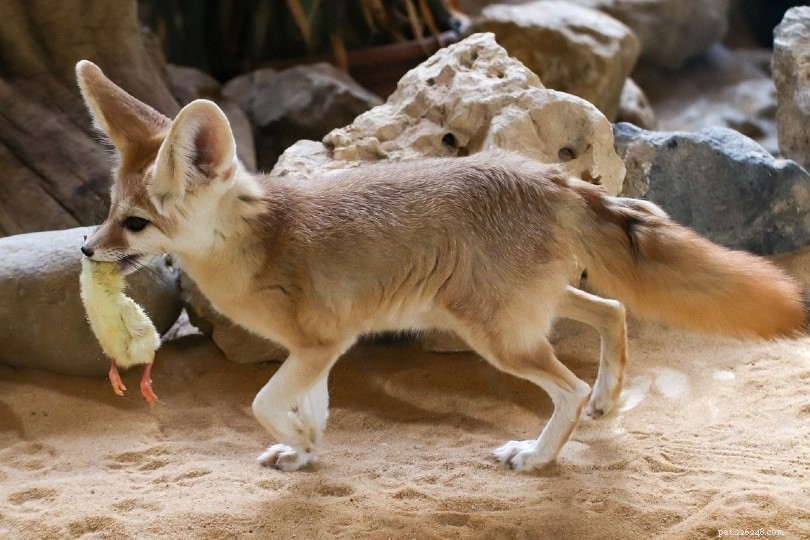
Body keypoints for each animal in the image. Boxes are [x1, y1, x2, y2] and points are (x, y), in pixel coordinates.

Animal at [75, 59, 807, 472]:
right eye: (109, 210)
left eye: (135, 224)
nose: (86, 249)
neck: (260, 239)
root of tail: (550, 179)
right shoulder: (320, 351)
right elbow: (309, 408)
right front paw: (306, 450)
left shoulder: (320, 345)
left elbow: (263, 402)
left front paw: (300, 440)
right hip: (528, 310)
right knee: (613, 311)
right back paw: (606, 399)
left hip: (497, 336)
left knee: (567, 386)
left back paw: (539, 457)